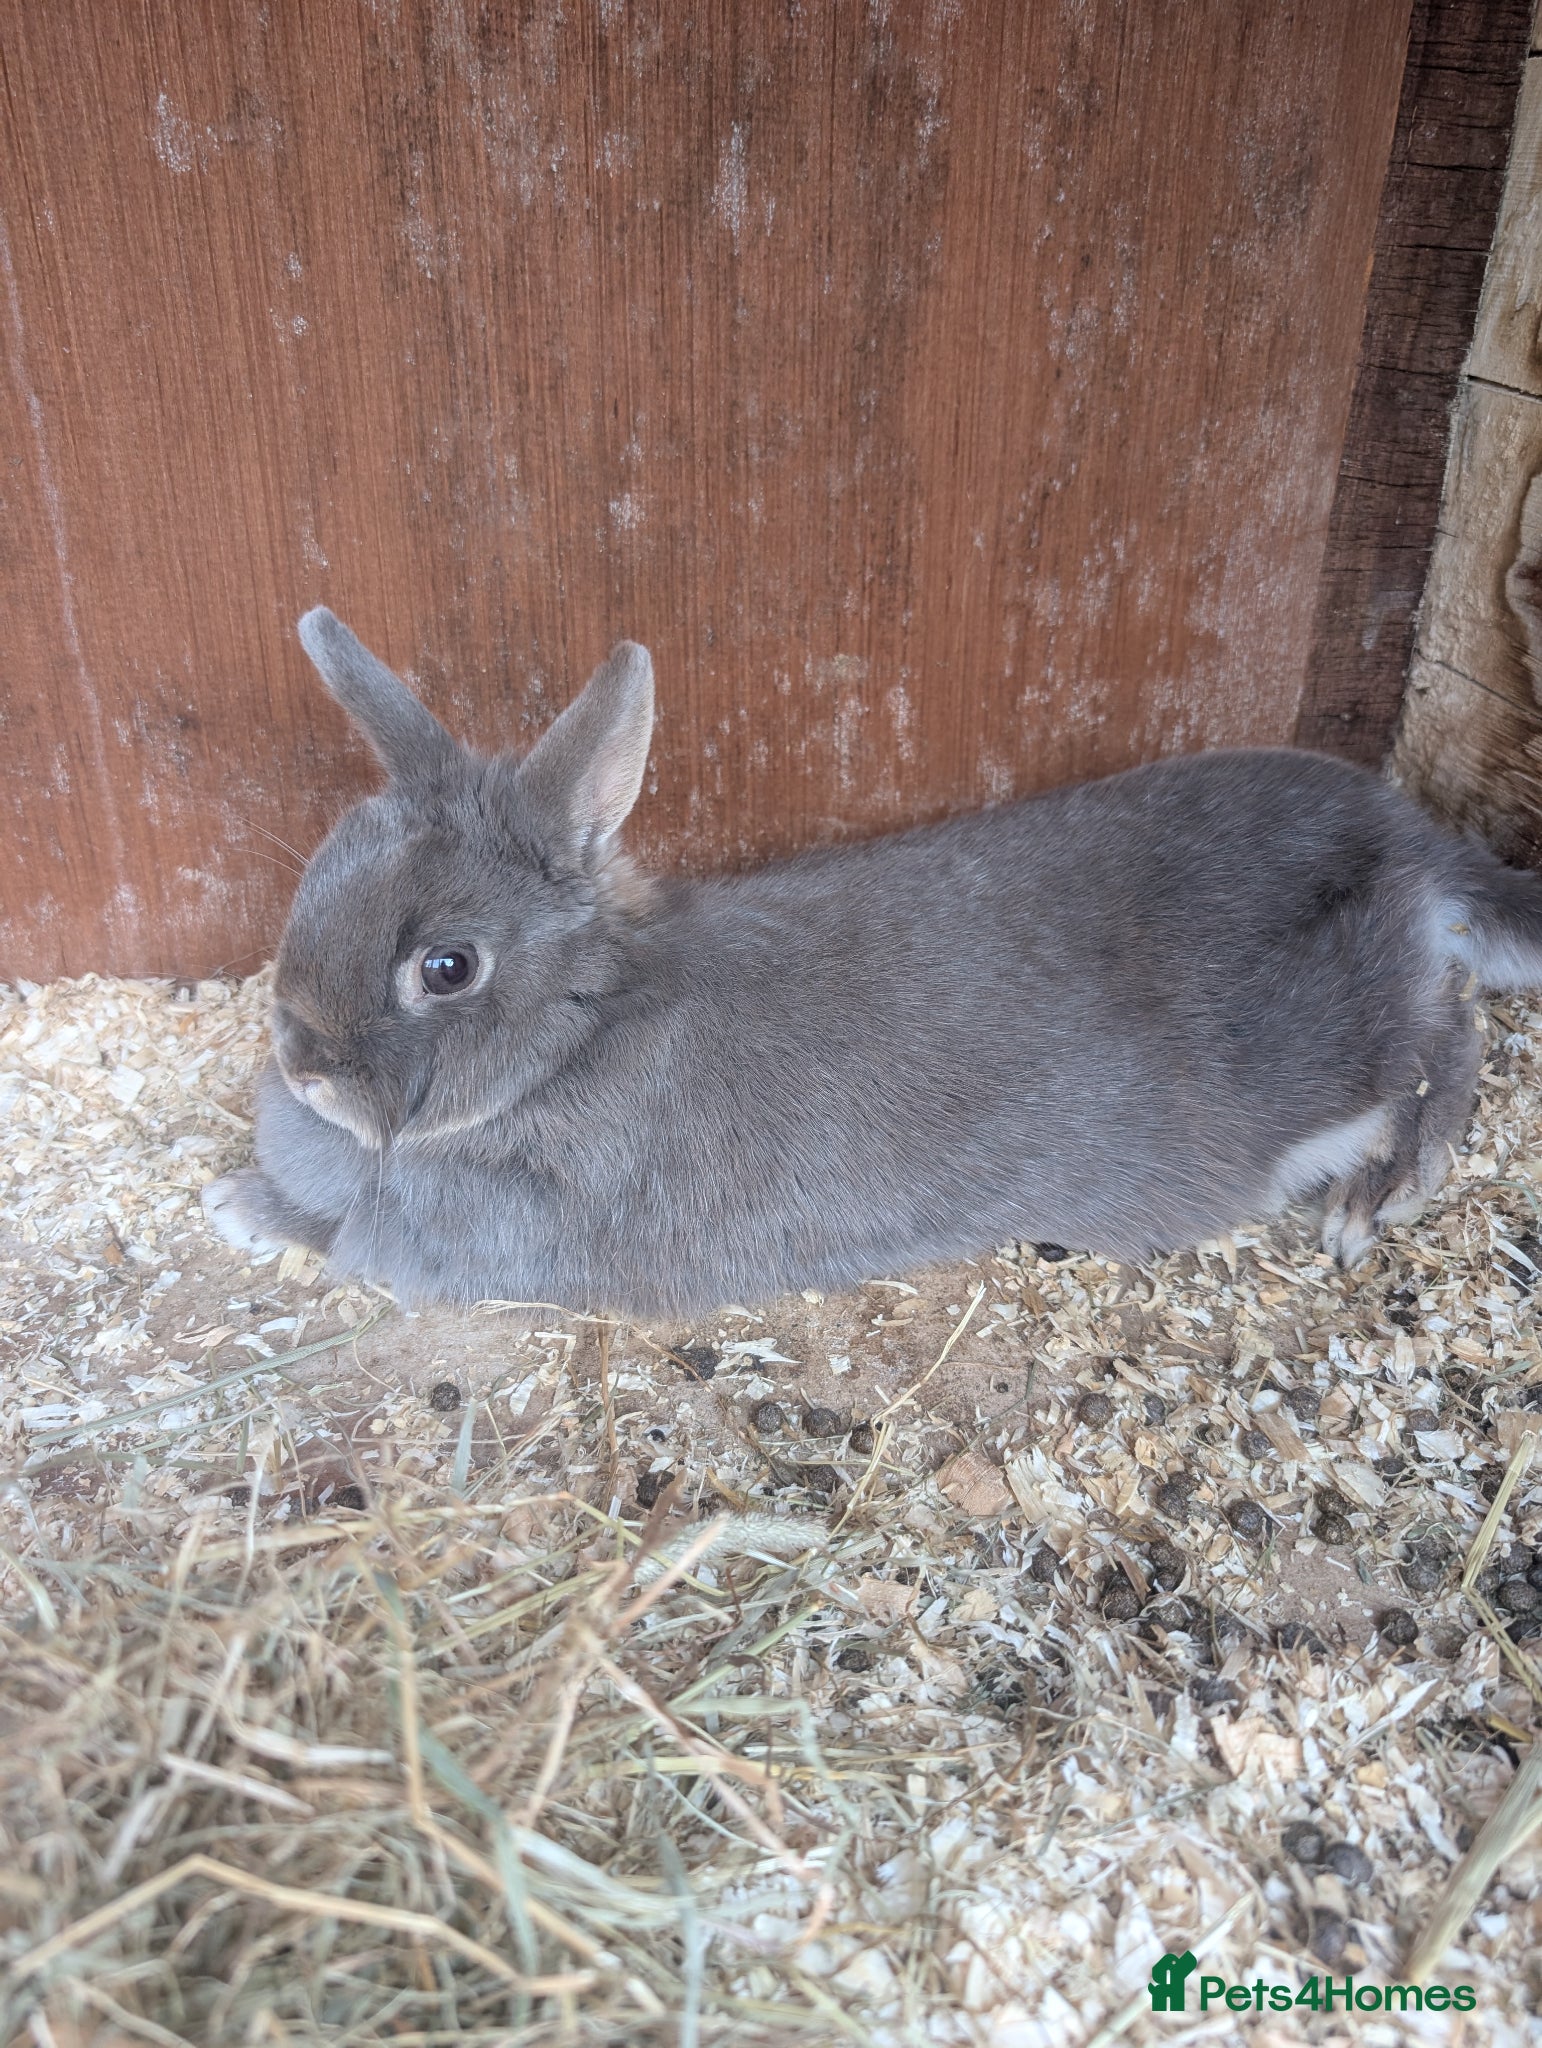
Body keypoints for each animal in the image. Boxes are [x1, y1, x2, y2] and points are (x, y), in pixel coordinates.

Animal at [202, 607, 1542, 1316]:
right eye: (320, 871)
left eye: (446, 967)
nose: (304, 1064)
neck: (582, 1032)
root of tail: (1407, 836)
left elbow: (338, 1234)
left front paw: (236, 1206)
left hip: (1336, 1031)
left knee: (1448, 1031)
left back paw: (1381, 1198)